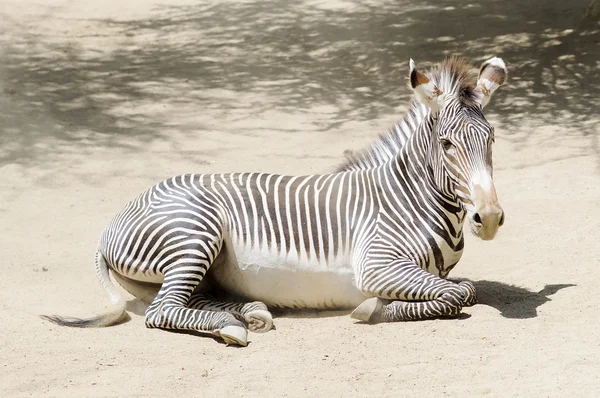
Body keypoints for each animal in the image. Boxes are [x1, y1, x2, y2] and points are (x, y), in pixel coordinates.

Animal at [42, 55, 508, 346]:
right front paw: (373, 308)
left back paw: (250, 311)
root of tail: (113, 222)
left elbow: (463, 288)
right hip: (195, 233)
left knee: (186, 299)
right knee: (162, 310)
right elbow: (458, 295)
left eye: (492, 139)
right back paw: (231, 326)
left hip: (192, 266)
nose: (487, 219)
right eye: (446, 144)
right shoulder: (377, 265)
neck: (409, 197)